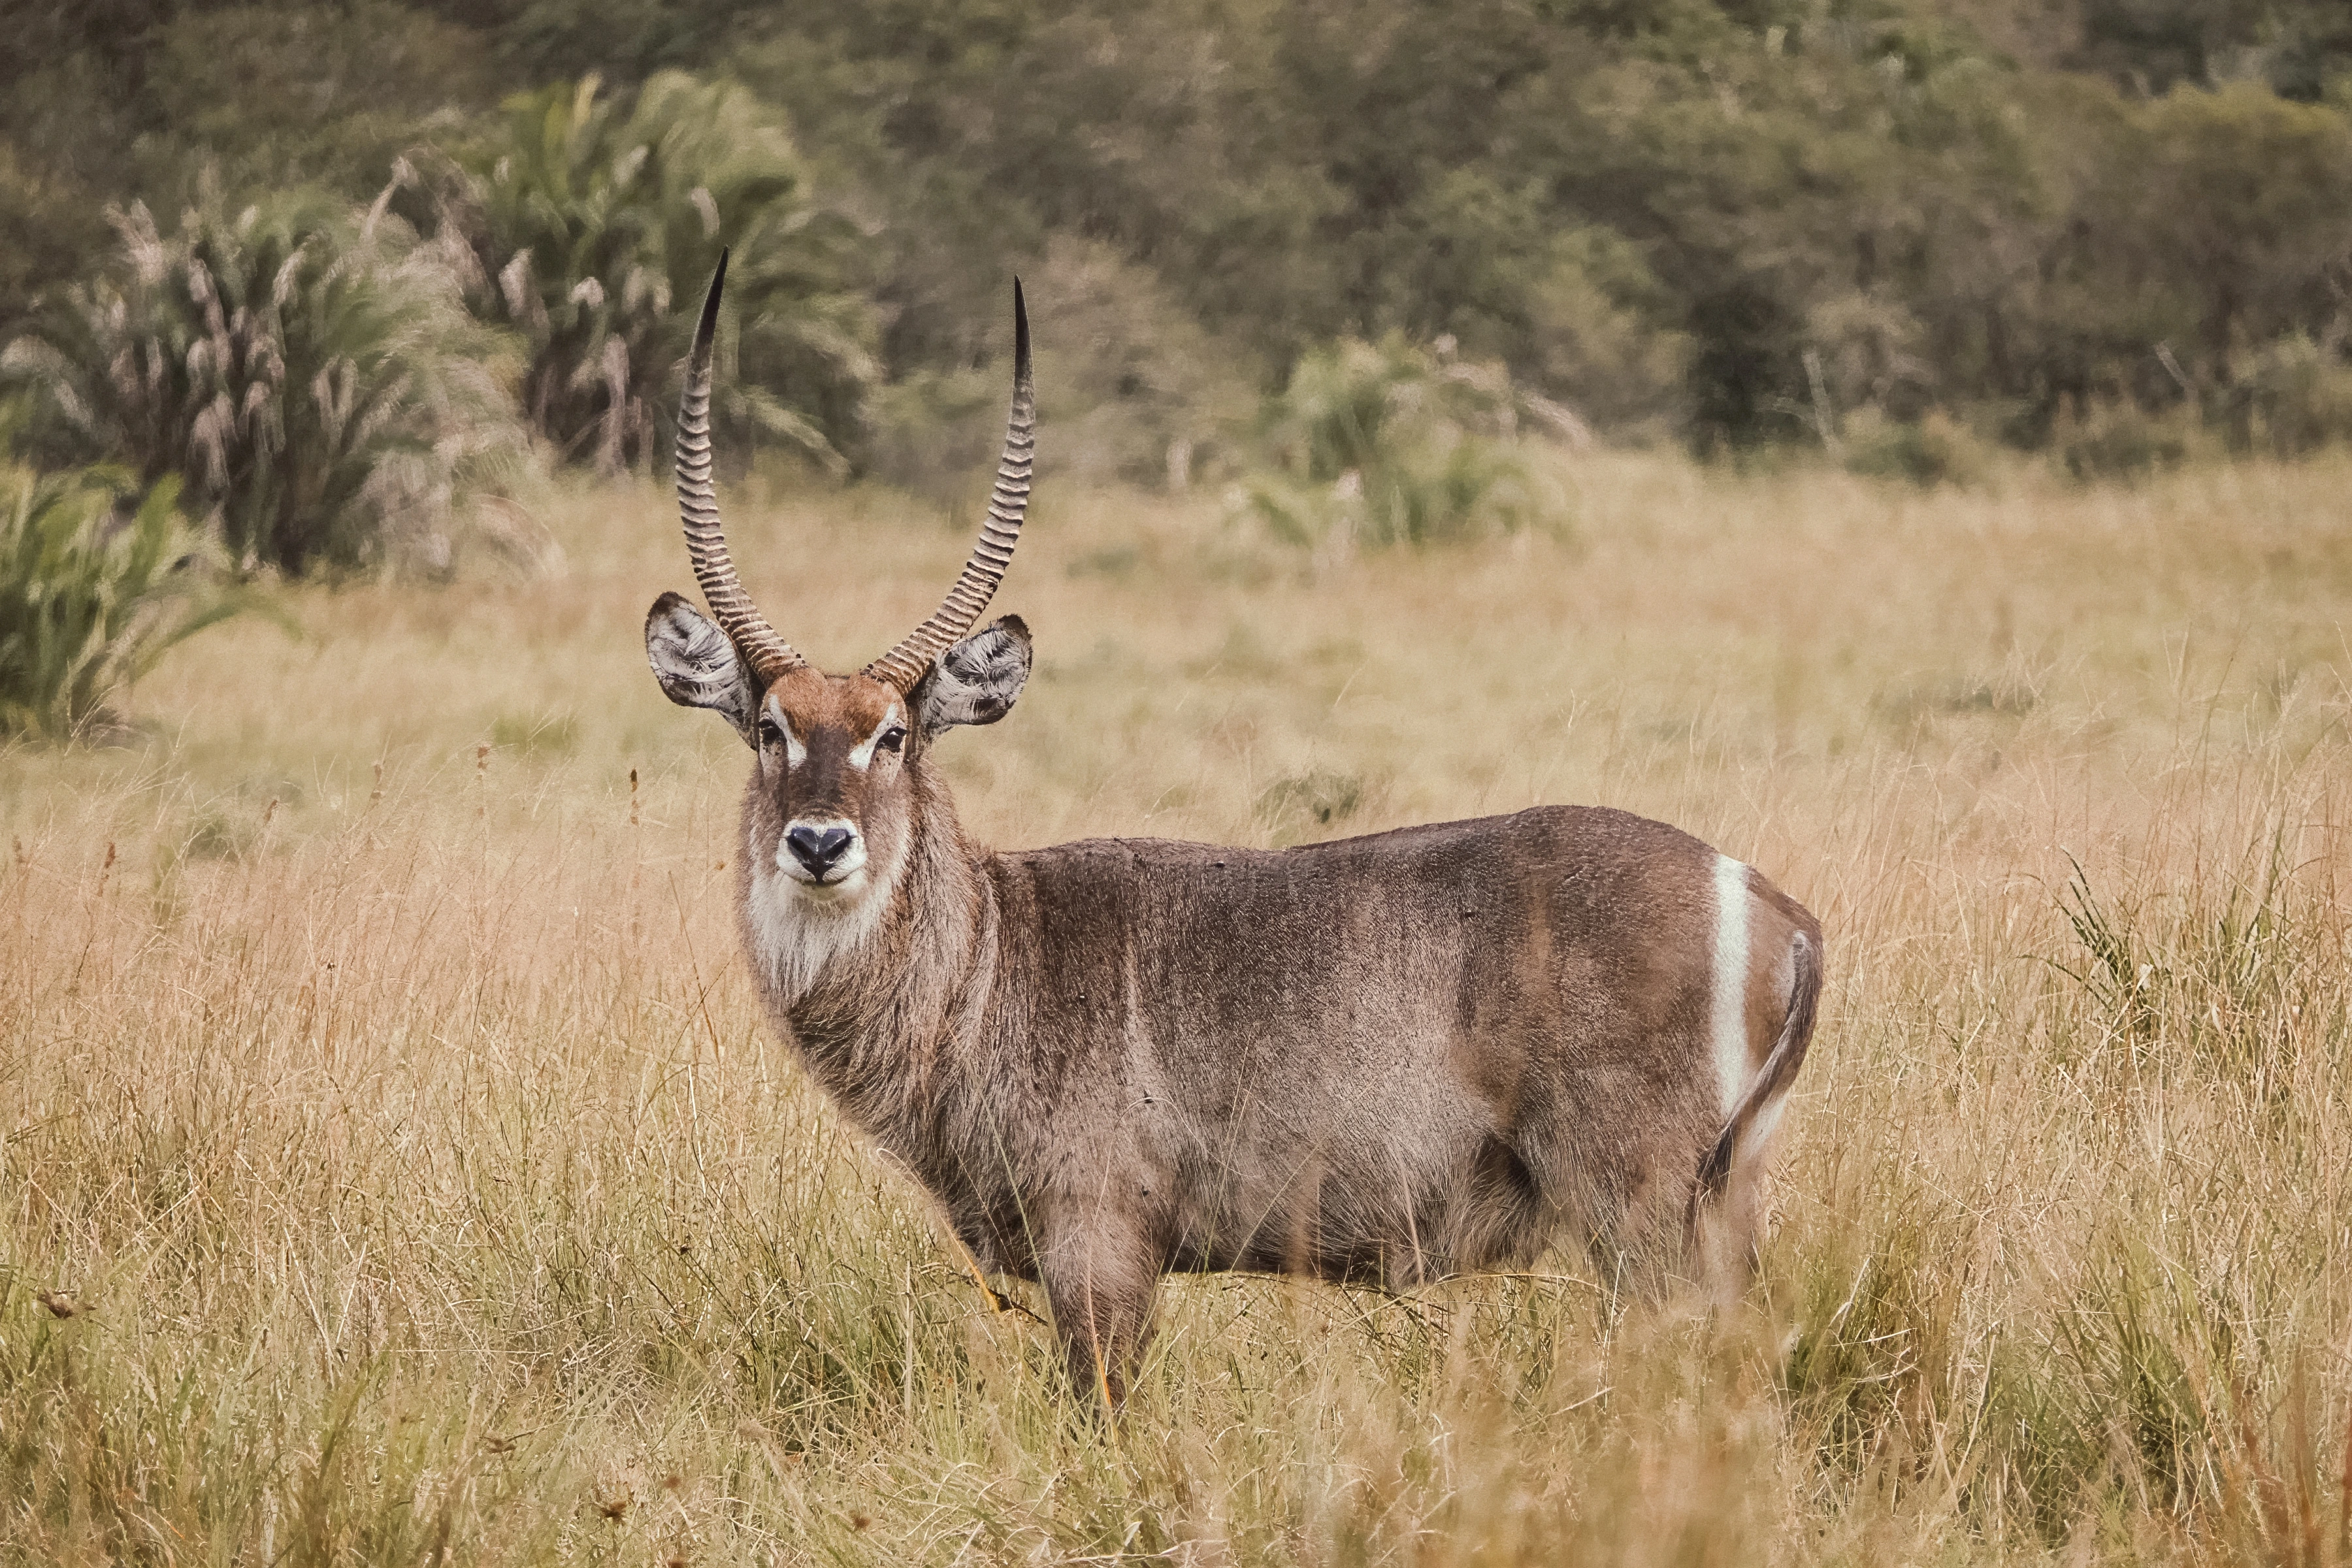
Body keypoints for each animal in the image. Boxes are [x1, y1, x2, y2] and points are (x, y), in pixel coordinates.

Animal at [646, 256, 1823, 1407]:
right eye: (769, 728)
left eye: (892, 735)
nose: (819, 844)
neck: (988, 956)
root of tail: (1774, 904)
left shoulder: (1100, 1239)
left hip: (1642, 1205)